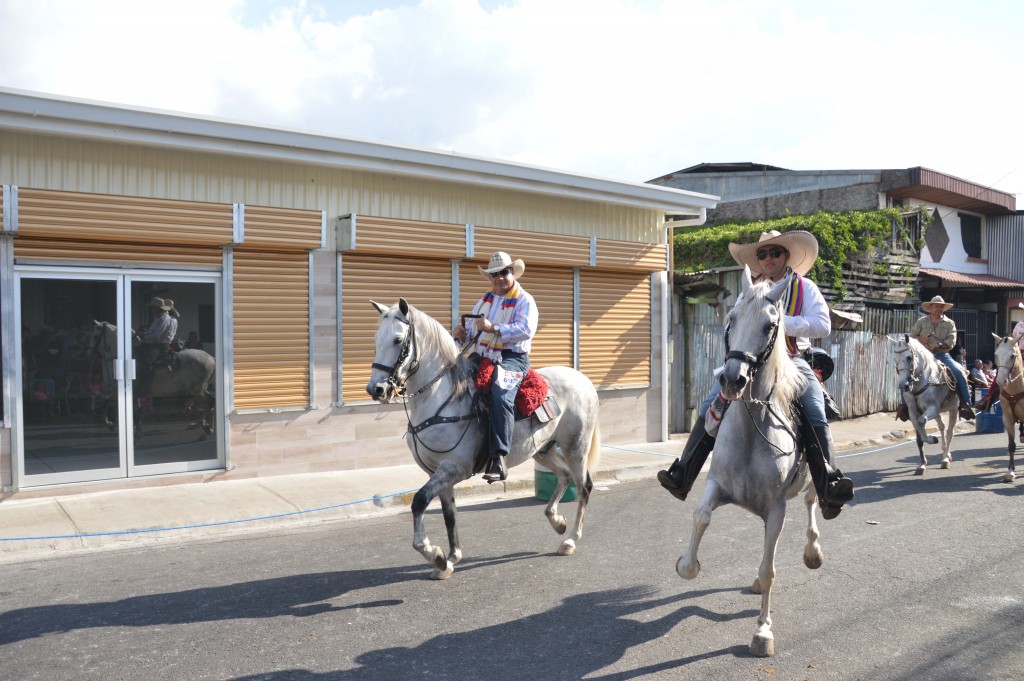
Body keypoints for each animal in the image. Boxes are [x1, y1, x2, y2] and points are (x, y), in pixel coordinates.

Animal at [368, 296, 598, 577]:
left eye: (398, 340)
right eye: (377, 338)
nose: (376, 389)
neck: (442, 398)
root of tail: (582, 379)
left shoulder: (455, 468)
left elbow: (419, 501)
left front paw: (434, 554)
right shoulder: (438, 471)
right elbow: (449, 512)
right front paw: (451, 558)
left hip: (576, 447)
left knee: (583, 486)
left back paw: (570, 540)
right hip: (543, 449)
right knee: (563, 476)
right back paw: (557, 521)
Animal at [679, 266, 823, 659]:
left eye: (769, 325)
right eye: (732, 318)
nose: (732, 379)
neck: (752, 429)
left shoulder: (777, 508)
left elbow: (771, 569)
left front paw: (762, 630)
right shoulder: (717, 485)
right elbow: (701, 516)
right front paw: (688, 565)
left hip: (810, 483)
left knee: (811, 503)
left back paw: (813, 552)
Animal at [892, 333, 954, 473]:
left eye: (909, 357)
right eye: (895, 359)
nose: (904, 385)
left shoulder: (932, 408)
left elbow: (922, 422)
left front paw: (932, 439)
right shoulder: (912, 412)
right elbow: (919, 437)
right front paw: (922, 464)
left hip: (954, 408)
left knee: (949, 432)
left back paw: (945, 459)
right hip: (938, 413)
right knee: (942, 426)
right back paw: (945, 454)